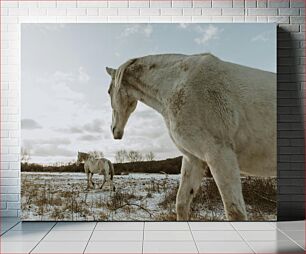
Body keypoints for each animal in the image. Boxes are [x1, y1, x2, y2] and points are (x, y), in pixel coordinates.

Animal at [106, 53, 278, 220]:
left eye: (108, 92)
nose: (114, 130)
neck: (177, 87)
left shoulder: (220, 155)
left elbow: (235, 213)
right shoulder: (193, 158)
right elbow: (181, 204)